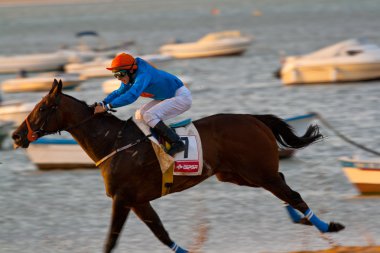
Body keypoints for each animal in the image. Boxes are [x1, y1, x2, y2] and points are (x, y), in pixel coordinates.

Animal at [12, 79, 344, 253]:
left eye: (43, 107)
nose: (16, 135)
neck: (113, 143)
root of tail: (254, 119)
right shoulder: (137, 201)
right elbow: (161, 233)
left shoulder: (122, 198)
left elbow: (111, 240)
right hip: (236, 175)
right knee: (284, 186)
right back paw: (304, 220)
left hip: (257, 171)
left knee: (292, 193)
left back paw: (327, 225)